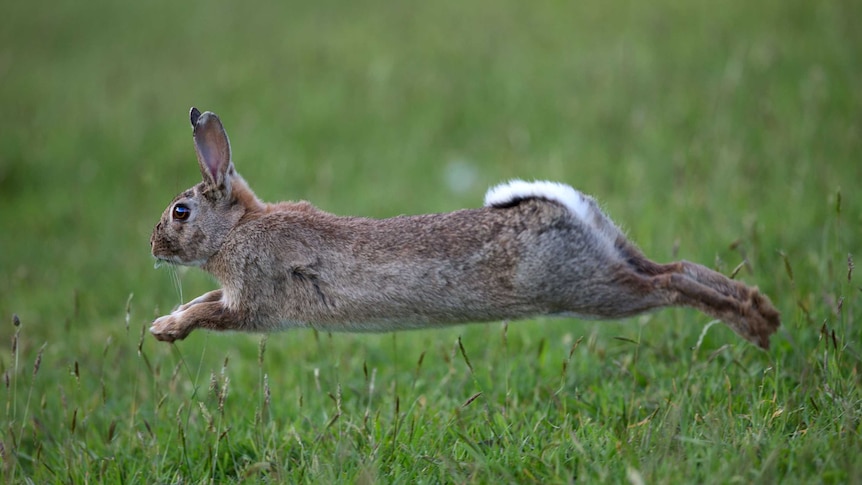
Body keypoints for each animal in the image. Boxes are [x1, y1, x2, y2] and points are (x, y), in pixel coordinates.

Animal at [150, 106, 784, 348]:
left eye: (181, 212)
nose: (153, 245)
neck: (236, 227)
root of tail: (567, 208)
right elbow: (202, 299)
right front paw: (161, 324)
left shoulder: (255, 301)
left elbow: (210, 311)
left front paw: (166, 331)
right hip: (610, 259)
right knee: (677, 268)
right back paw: (763, 314)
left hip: (587, 289)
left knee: (667, 286)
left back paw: (752, 325)